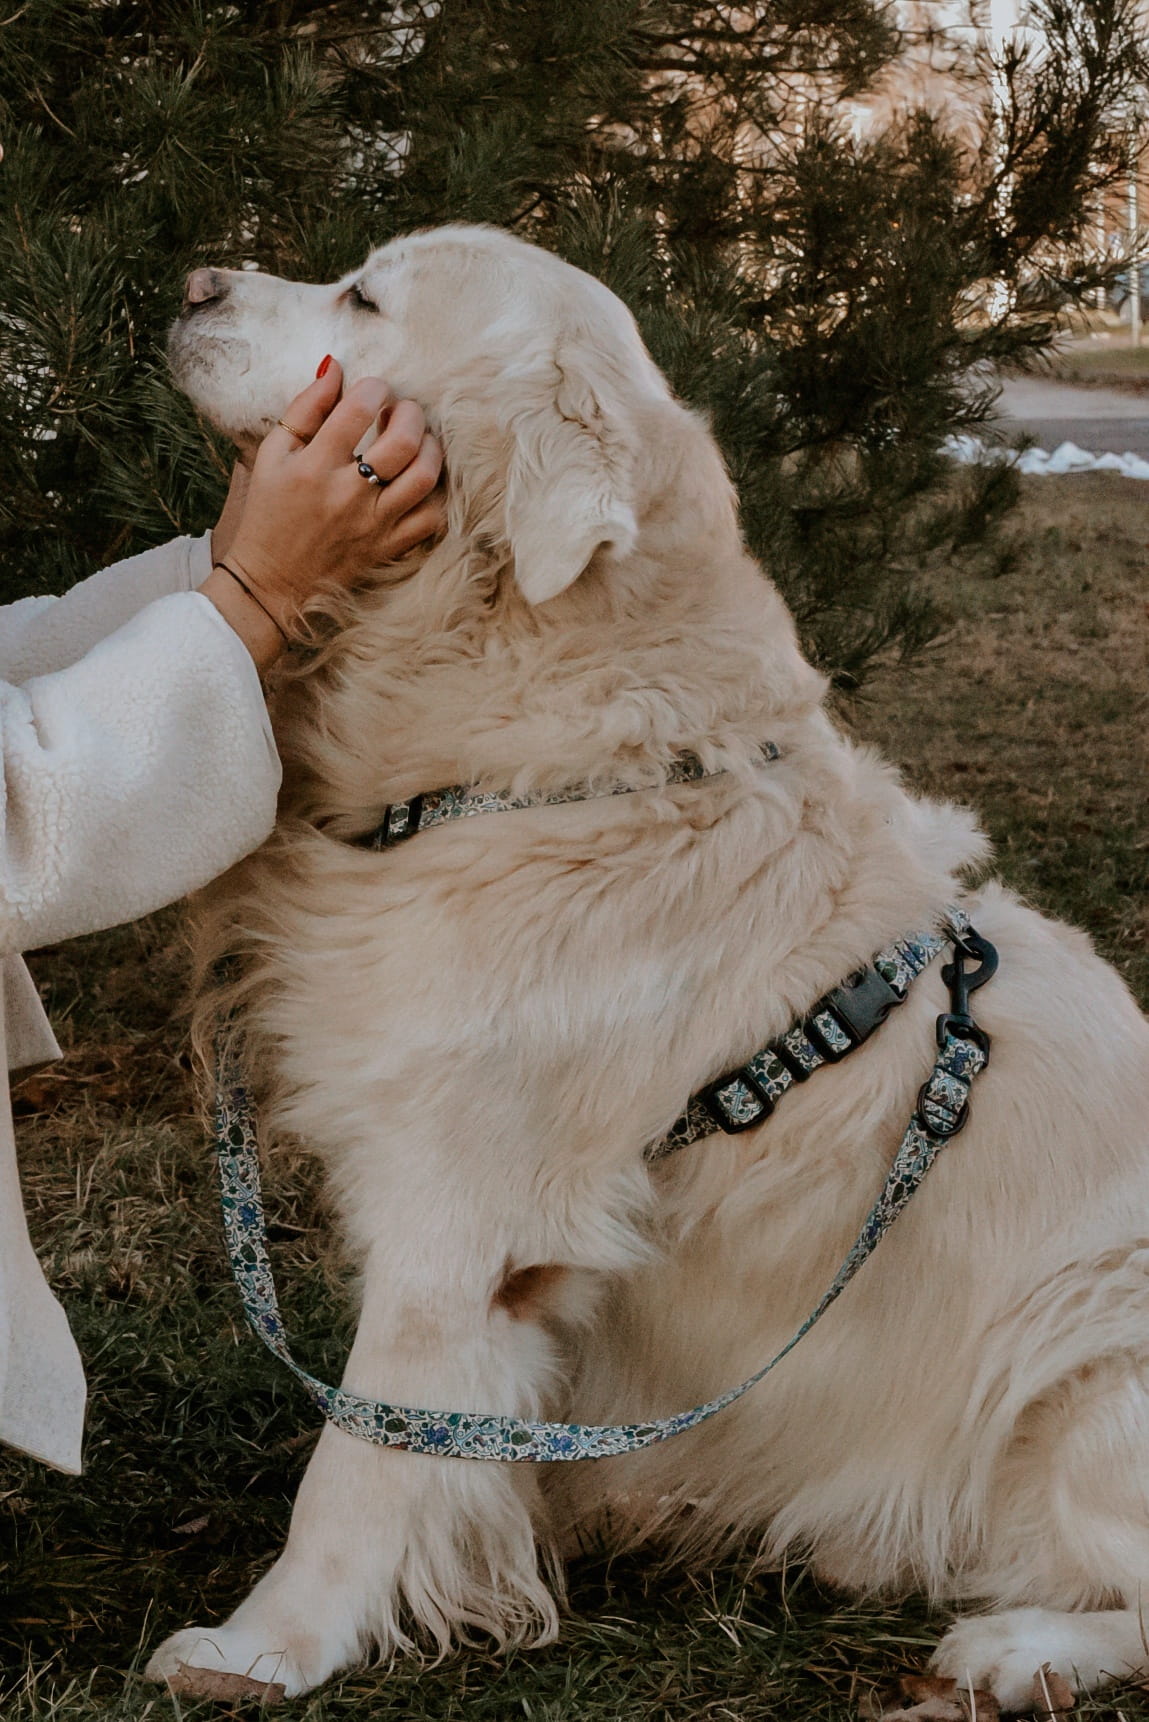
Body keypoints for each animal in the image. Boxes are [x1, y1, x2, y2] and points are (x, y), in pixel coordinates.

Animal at [152, 218, 1149, 1708]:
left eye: (366, 299)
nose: (191, 284)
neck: (559, 749)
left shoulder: (459, 1212)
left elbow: (362, 1454)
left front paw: (264, 1646)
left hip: (1090, 1349)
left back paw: (1016, 1647)